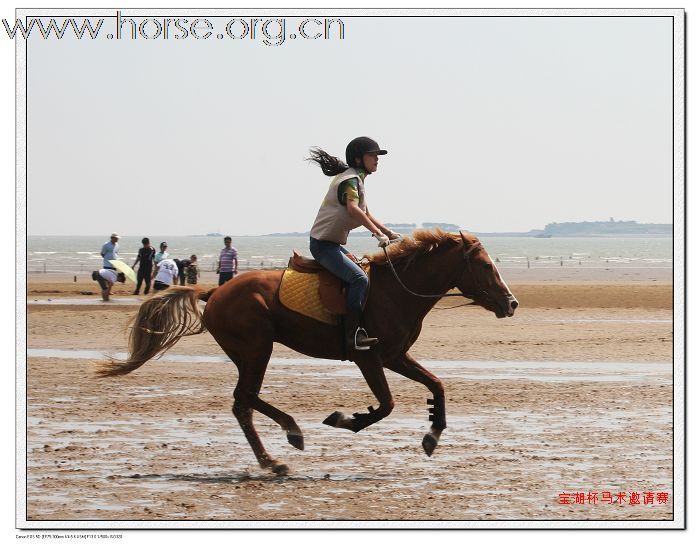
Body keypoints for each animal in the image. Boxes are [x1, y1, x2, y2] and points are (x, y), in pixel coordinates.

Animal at [95, 227, 516, 474]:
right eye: (484, 265)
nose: (511, 303)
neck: (395, 291)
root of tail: (214, 291)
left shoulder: (394, 356)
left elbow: (436, 385)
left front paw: (432, 435)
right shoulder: (368, 357)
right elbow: (386, 405)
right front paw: (346, 420)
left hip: (251, 352)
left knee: (245, 399)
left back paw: (282, 443)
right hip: (257, 348)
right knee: (243, 398)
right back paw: (281, 447)